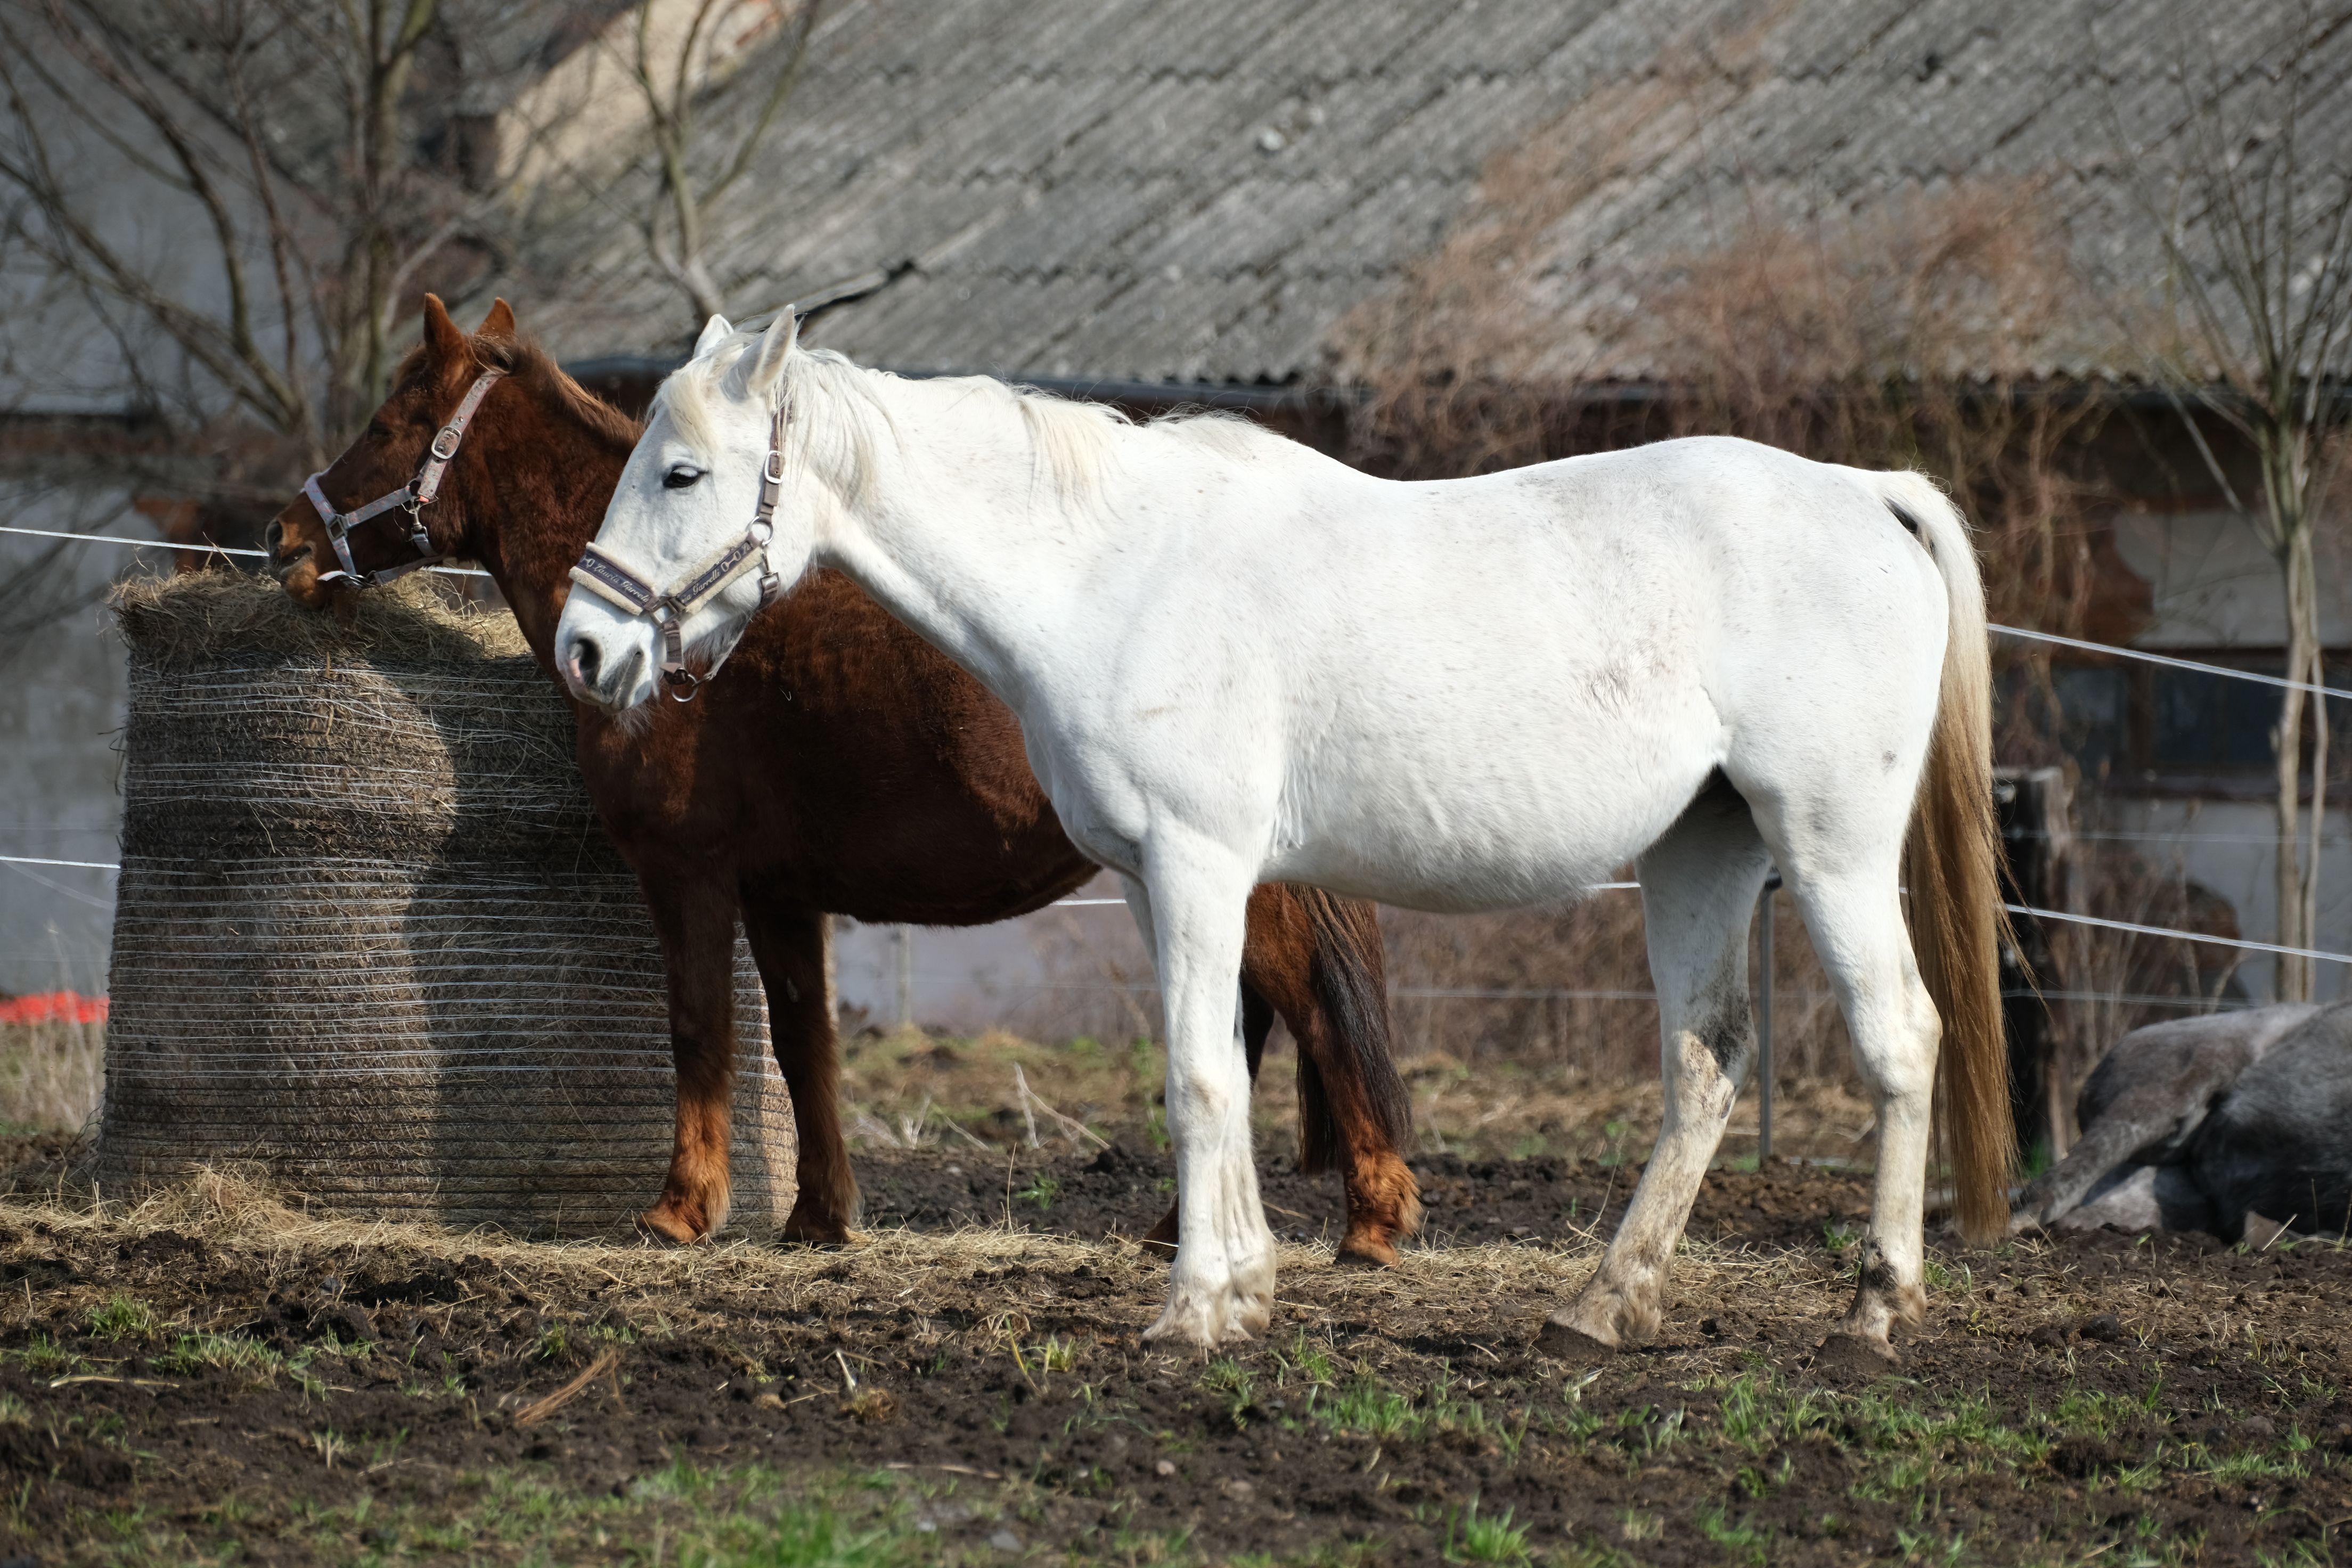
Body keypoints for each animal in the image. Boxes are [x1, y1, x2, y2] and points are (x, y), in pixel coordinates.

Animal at [266, 296, 1422, 1265]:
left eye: (391, 421)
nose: (285, 537)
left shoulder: (688, 872)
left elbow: (701, 1032)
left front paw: (680, 1209)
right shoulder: (781, 892)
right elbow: (802, 1043)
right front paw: (818, 1217)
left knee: (1312, 1013)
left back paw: (1371, 1219)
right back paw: (1181, 1226)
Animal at [557, 308, 2012, 1354]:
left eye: (682, 471)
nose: (583, 648)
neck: (1110, 571)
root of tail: (1864, 491)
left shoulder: (1200, 863)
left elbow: (1200, 1079)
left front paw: (1194, 1311)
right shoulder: (1160, 883)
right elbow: (1213, 1074)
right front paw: (1244, 1284)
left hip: (1826, 845)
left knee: (1900, 1038)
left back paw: (1876, 1308)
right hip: (1703, 848)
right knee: (1704, 1063)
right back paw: (1603, 1304)